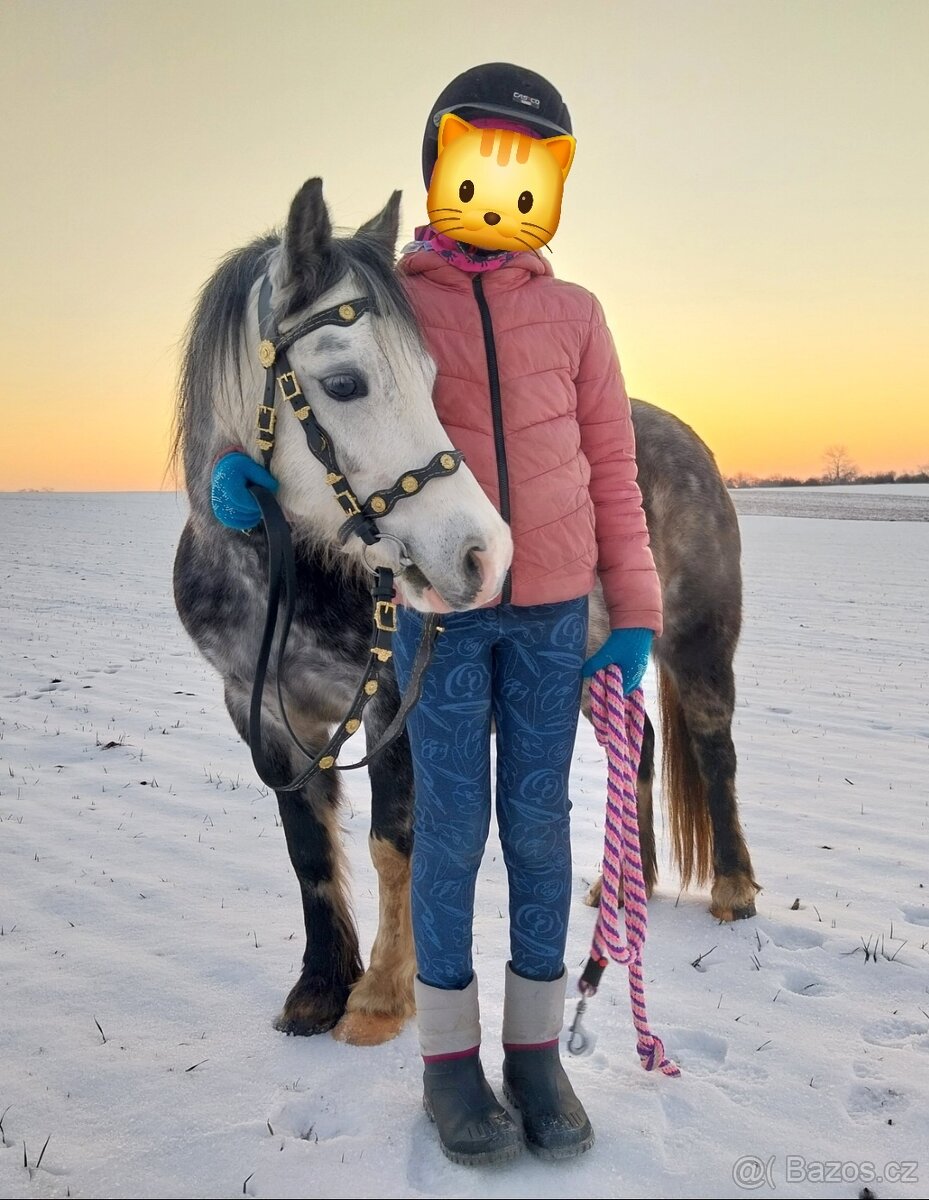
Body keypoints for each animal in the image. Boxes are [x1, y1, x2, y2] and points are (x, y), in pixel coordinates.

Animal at [172, 176, 759, 1047]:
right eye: (343, 383)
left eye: (430, 377)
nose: (483, 554)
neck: (289, 574)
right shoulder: (263, 715)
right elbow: (307, 848)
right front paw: (317, 990)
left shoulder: (395, 704)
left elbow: (394, 843)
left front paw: (380, 999)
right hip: (591, 661)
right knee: (642, 745)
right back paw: (630, 885)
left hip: (695, 641)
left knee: (714, 749)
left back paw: (731, 888)